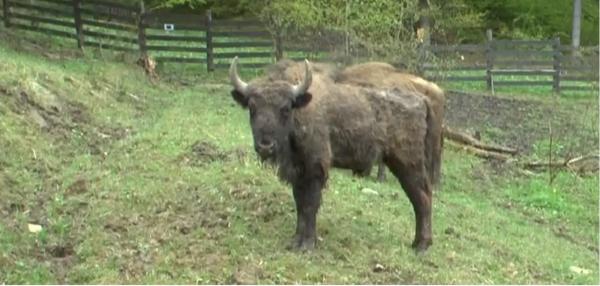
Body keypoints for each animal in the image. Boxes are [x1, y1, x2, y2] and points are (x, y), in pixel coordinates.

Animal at [229, 57, 436, 251]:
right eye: (252, 107)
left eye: (285, 108)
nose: (265, 146)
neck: (301, 110)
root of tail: (421, 101)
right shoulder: (298, 173)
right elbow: (300, 205)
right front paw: (295, 241)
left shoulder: (315, 170)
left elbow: (310, 205)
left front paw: (307, 245)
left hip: (408, 164)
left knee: (422, 198)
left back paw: (421, 246)